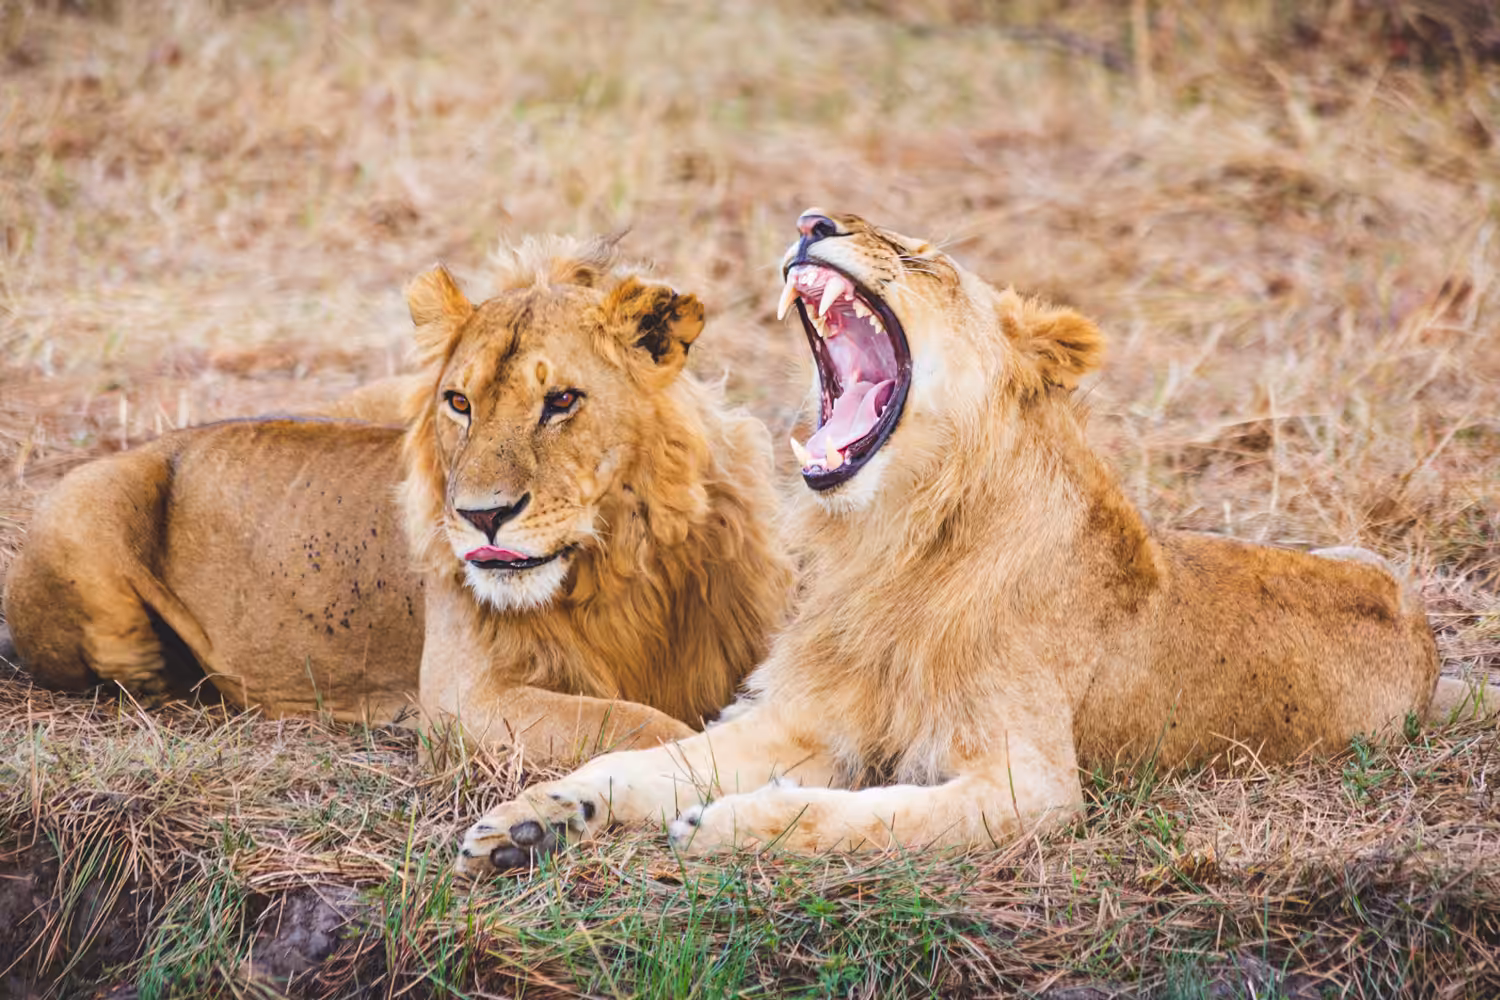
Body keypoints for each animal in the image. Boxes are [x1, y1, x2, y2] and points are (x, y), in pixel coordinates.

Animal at [3, 238, 793, 758]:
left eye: (562, 400)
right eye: (460, 402)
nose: (481, 516)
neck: (626, 566)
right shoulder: (462, 698)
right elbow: (638, 724)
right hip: (82, 515)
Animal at [453, 210, 1484, 875]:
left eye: (921, 256)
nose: (812, 219)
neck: (895, 543)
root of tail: (1427, 638)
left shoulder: (1031, 788)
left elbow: (868, 815)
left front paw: (728, 825)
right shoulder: (802, 720)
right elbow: (637, 762)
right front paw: (530, 821)